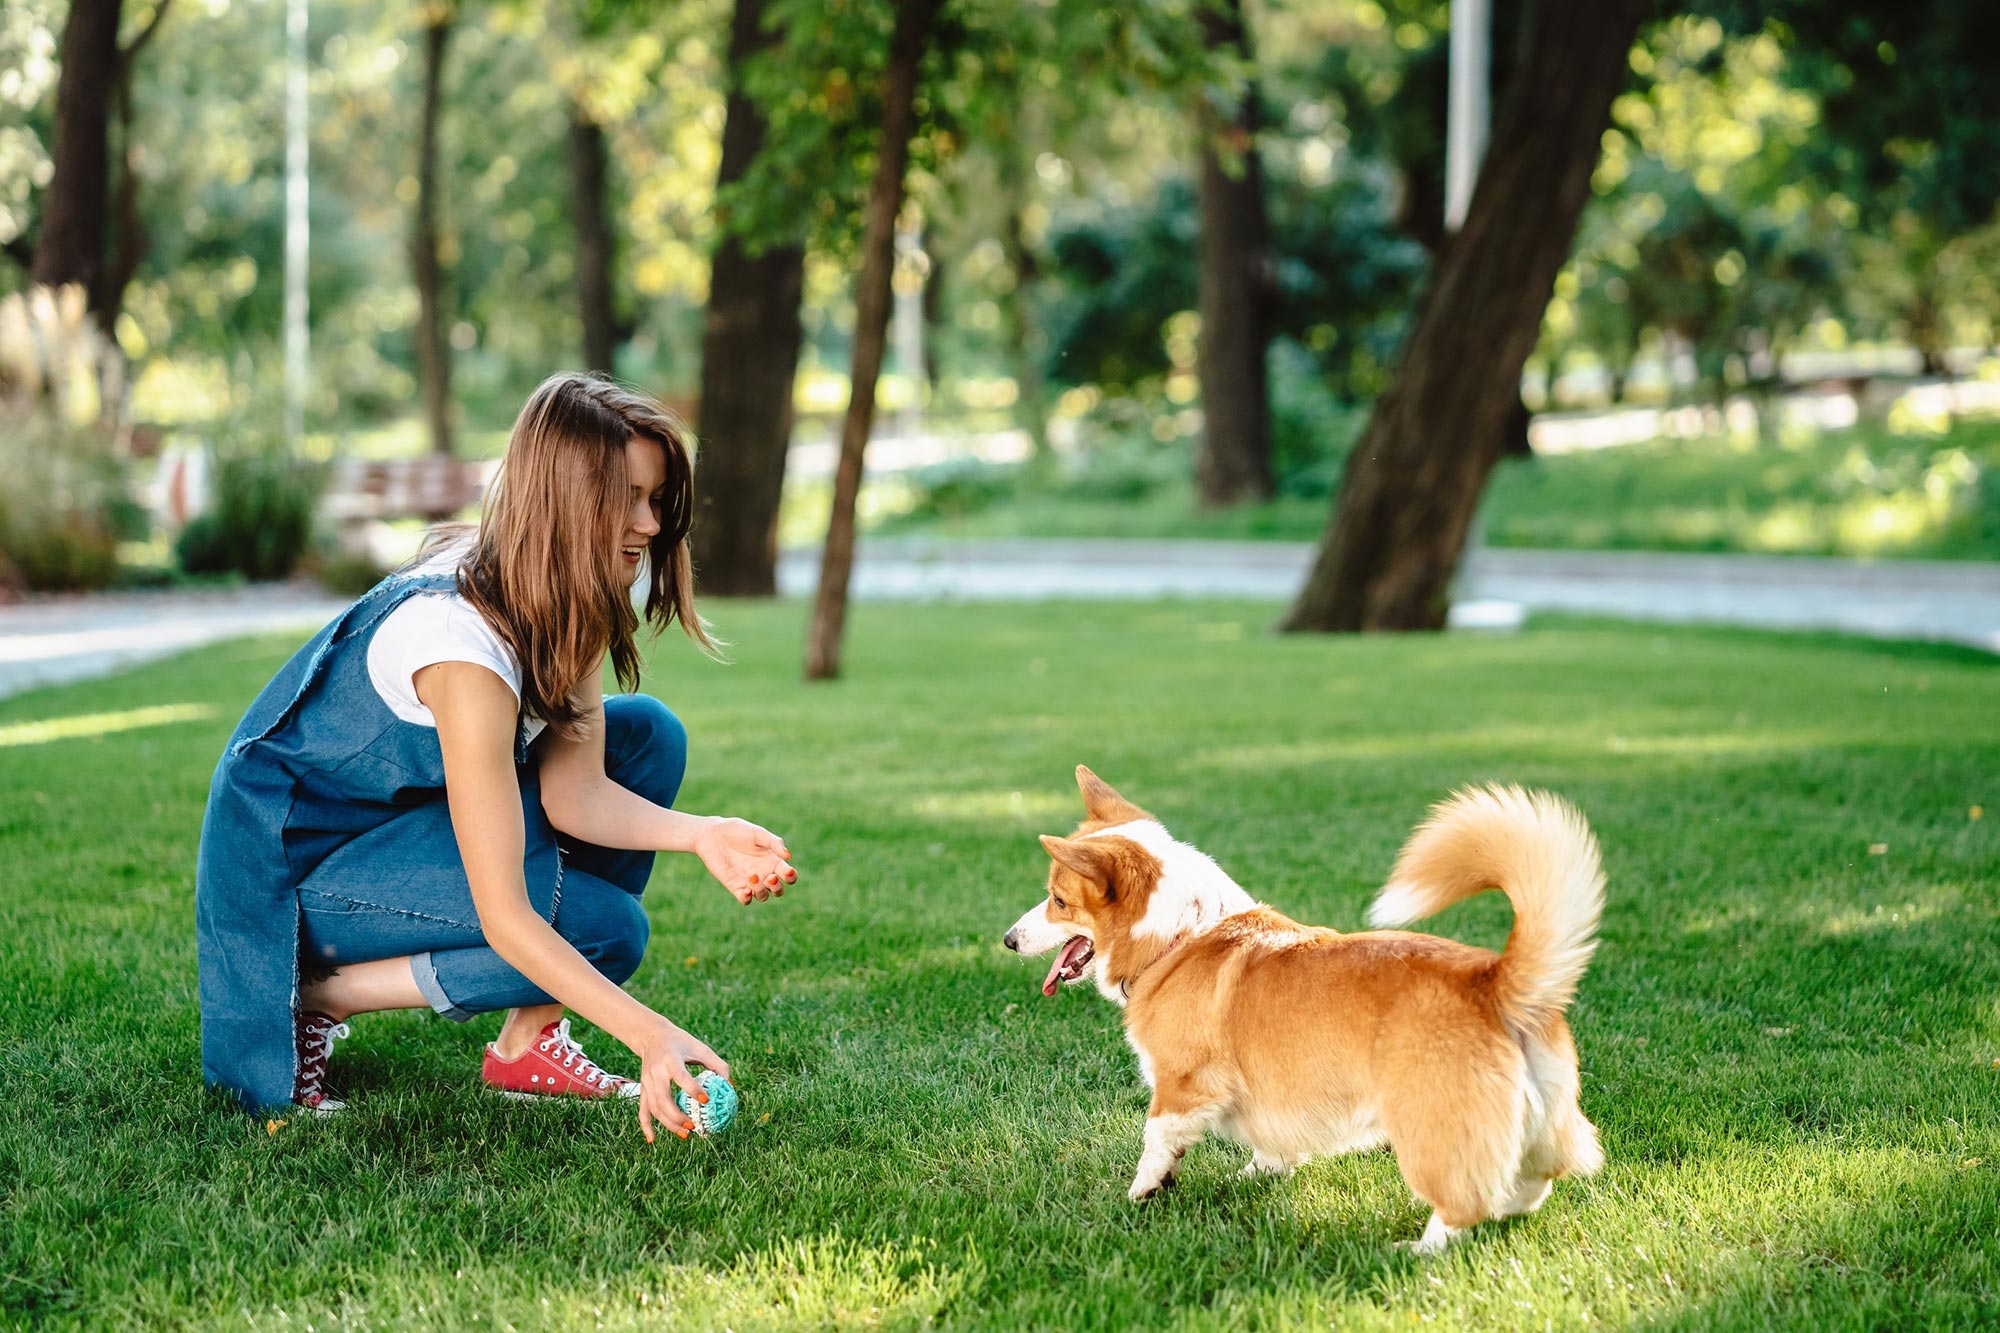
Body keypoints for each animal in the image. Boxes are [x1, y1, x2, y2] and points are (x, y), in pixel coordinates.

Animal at [1000, 764, 1608, 1248]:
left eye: (1058, 900)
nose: (1007, 940)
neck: (1176, 935)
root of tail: (1495, 981)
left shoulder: (1181, 1084)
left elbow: (1156, 1141)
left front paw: (1139, 1193)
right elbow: (1271, 1149)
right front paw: (1245, 1178)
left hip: (1428, 1130)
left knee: (1464, 1205)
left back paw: (1417, 1250)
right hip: (1542, 1122)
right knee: (1530, 1184)